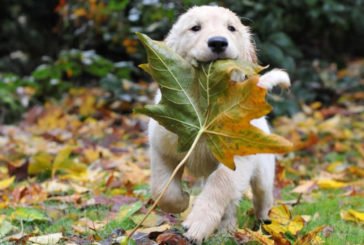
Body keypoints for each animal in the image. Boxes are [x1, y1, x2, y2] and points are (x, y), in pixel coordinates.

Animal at [148, 5, 290, 243]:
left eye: (231, 28)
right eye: (195, 28)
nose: (217, 42)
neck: (206, 102)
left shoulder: (237, 158)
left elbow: (220, 185)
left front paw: (198, 224)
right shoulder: (162, 148)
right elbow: (163, 189)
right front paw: (182, 201)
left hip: (263, 170)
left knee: (261, 197)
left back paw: (261, 224)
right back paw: (226, 230)